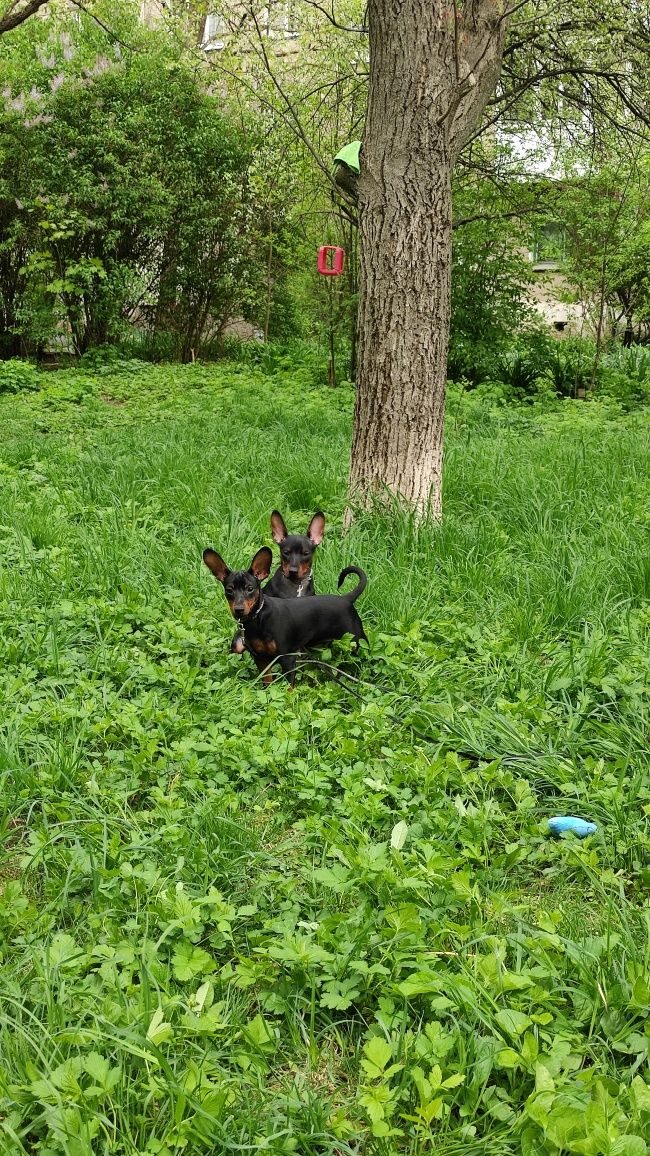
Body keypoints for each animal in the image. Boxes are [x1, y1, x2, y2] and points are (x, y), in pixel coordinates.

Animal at [202, 543, 365, 679]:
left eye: (250, 588)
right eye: (229, 590)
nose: (239, 609)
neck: (258, 619)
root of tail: (346, 599)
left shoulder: (287, 658)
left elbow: (289, 689)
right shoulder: (261, 659)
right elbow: (266, 683)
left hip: (357, 641)